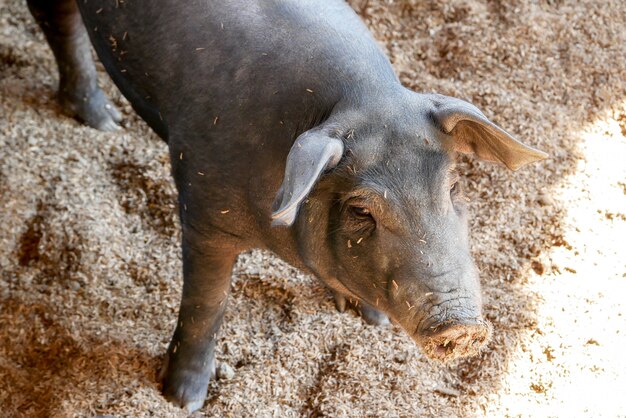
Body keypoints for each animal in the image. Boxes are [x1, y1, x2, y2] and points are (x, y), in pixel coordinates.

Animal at [26, 0, 544, 412]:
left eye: (453, 187)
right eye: (361, 210)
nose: (462, 325)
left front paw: (370, 321)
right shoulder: (202, 212)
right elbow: (206, 305)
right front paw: (183, 401)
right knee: (61, 26)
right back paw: (104, 123)